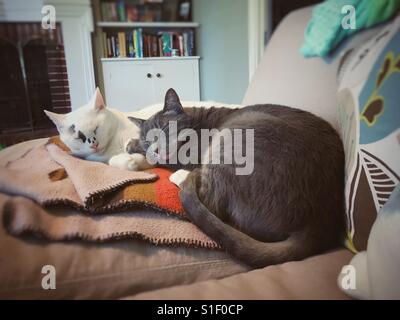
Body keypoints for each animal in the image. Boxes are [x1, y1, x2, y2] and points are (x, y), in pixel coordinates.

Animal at [129, 88, 346, 268]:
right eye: (147, 139)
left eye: (164, 129)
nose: (155, 149)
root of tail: (317, 222)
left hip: (239, 132)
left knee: (211, 201)